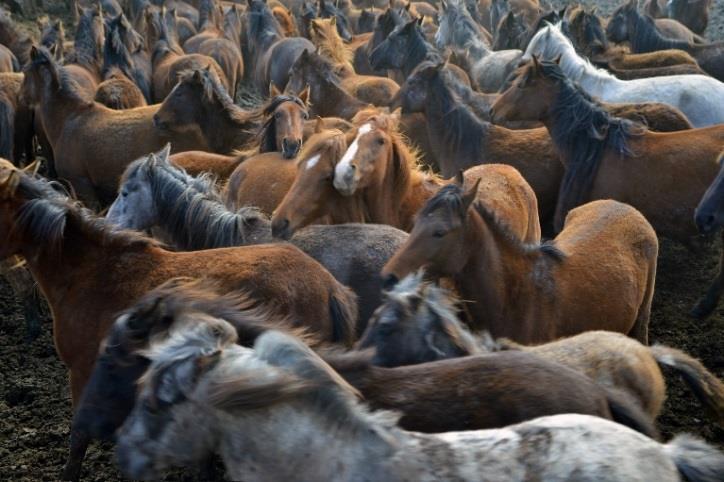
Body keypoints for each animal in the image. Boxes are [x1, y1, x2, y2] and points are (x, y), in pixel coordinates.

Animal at [382, 180, 660, 342]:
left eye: (439, 232)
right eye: (416, 221)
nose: (389, 276)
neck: (516, 296)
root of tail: (627, 208)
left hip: (642, 318)